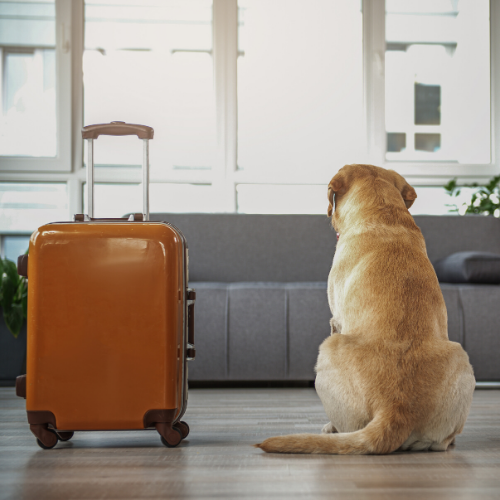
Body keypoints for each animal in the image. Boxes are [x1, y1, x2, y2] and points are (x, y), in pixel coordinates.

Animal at [260, 166, 474, 456]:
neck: (383, 214)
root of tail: (394, 409)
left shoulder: (336, 320)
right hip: (460, 358)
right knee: (442, 443)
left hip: (328, 347)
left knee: (348, 429)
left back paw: (331, 429)